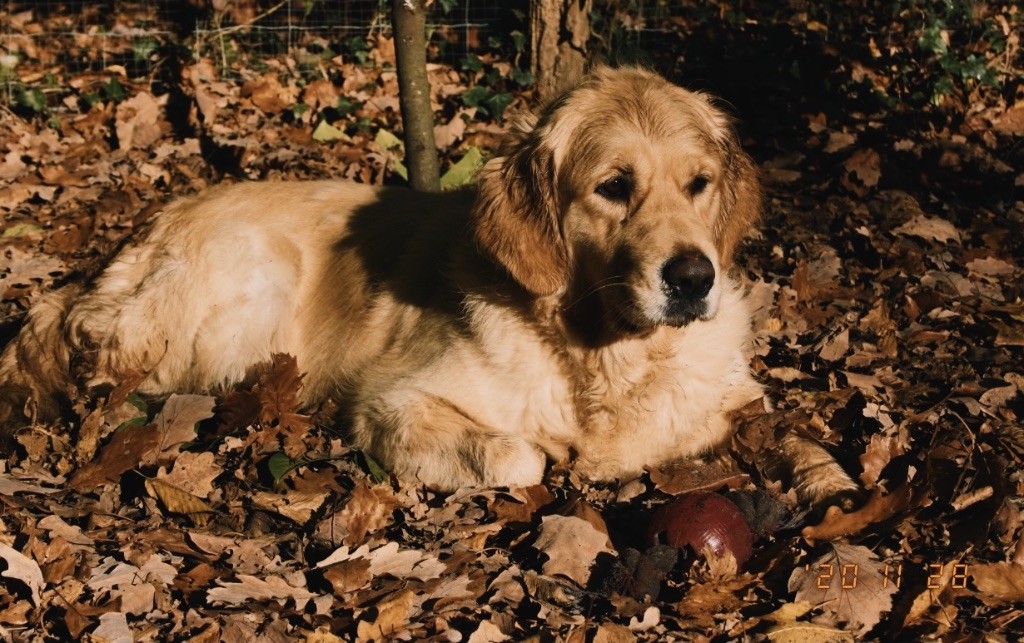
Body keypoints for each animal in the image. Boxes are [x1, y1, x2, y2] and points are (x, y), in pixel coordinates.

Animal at [0, 63, 860, 497]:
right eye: (615, 187)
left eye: (699, 184)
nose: (692, 277)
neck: (601, 353)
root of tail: (158, 217)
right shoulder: (393, 399)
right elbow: (520, 455)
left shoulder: (727, 390)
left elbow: (775, 423)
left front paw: (828, 477)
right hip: (246, 288)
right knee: (85, 334)